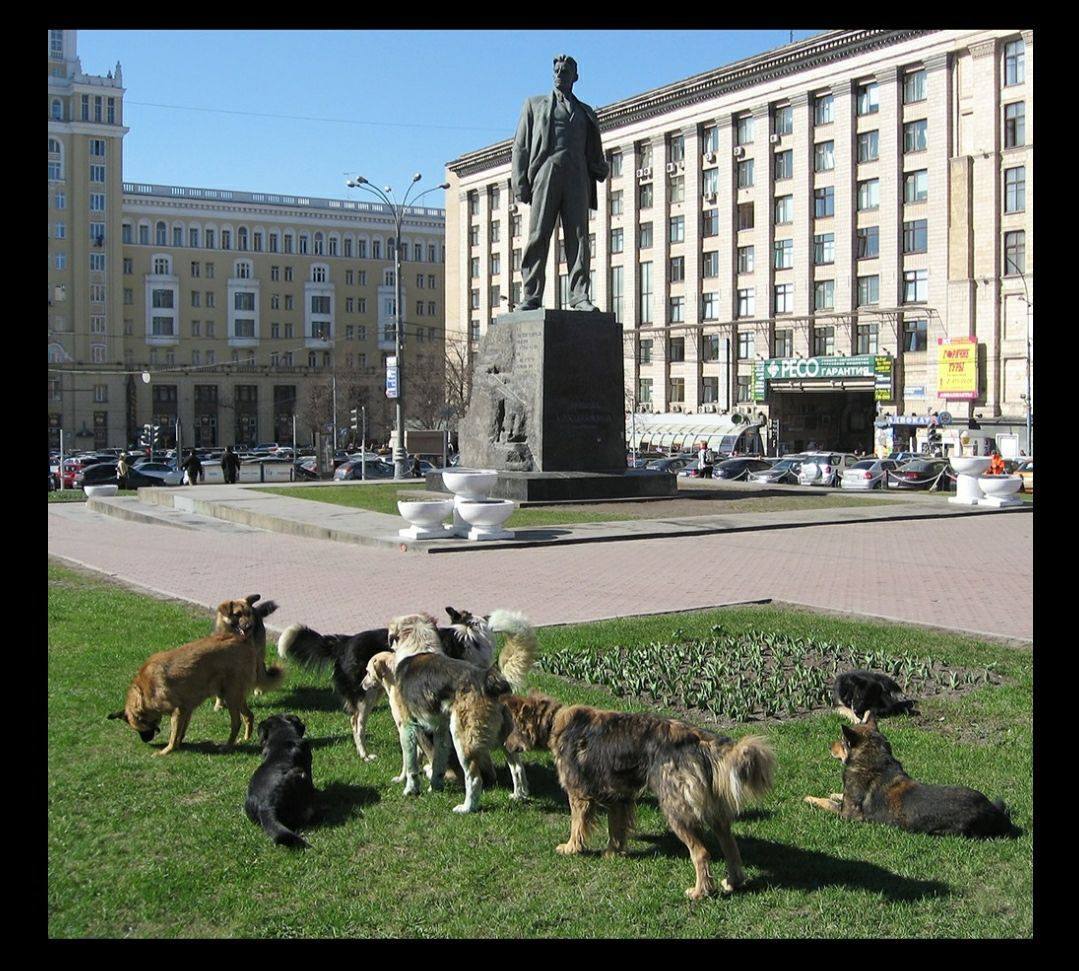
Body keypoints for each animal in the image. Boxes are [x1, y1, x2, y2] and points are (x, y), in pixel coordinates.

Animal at [107, 591, 284, 759]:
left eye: (138, 729)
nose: (145, 741)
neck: (144, 690)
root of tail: (243, 639)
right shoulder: (186, 709)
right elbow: (180, 733)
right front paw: (179, 745)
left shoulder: (177, 710)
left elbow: (173, 736)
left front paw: (166, 751)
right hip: (232, 695)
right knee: (249, 716)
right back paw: (244, 739)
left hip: (232, 695)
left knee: (237, 722)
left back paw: (228, 746)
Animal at [377, 612, 537, 811]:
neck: (417, 648)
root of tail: (489, 678)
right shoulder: (440, 731)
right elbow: (438, 763)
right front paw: (435, 788)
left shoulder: (407, 726)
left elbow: (411, 765)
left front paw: (410, 790)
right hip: (504, 738)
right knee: (518, 768)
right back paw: (518, 796)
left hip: (463, 737)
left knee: (475, 778)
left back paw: (467, 808)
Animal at [500, 694, 772, 897]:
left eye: (514, 727)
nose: (505, 745)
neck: (555, 722)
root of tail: (699, 739)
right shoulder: (617, 797)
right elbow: (616, 829)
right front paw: (613, 853)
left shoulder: (578, 795)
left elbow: (576, 825)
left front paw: (571, 848)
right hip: (712, 809)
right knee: (730, 845)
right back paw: (733, 882)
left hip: (675, 808)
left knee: (701, 852)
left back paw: (699, 892)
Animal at [802, 716, 1018, 837]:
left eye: (841, 740)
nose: (829, 746)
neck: (874, 759)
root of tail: (993, 811)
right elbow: (837, 796)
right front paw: (833, 793)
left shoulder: (848, 815)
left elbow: (827, 804)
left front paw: (811, 798)